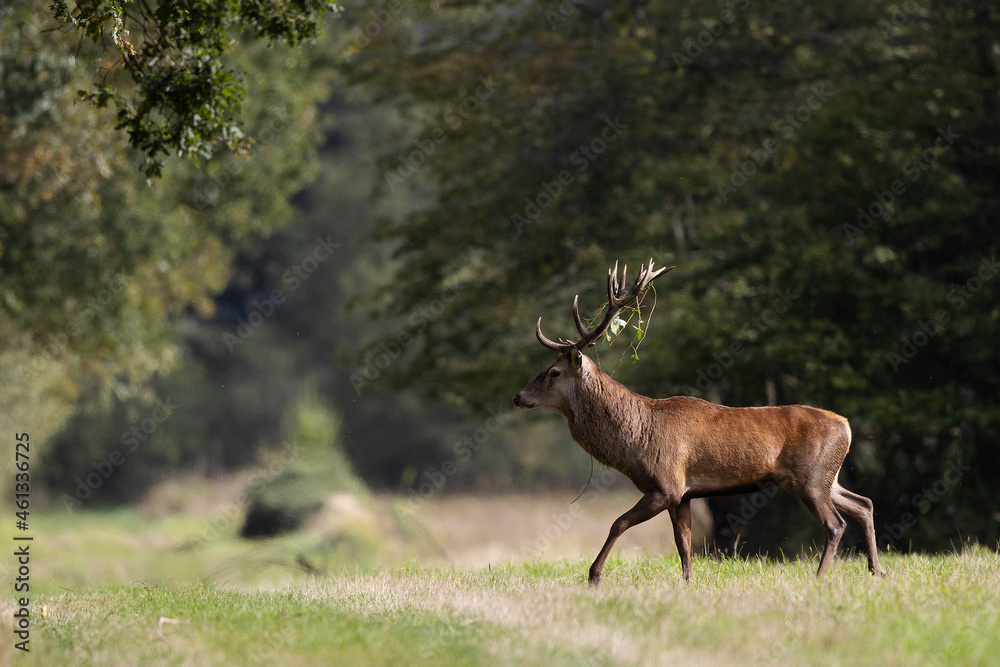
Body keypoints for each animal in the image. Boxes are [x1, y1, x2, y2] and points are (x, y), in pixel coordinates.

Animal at [512, 260, 884, 585]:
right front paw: (688, 582)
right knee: (863, 504)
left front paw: (594, 576)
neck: (636, 440)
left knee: (835, 524)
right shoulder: (684, 495)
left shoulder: (666, 485)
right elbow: (684, 545)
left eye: (553, 372)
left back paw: (820, 577)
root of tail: (847, 426)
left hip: (810, 477)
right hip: (826, 477)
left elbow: (618, 523)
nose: (518, 396)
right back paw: (876, 570)